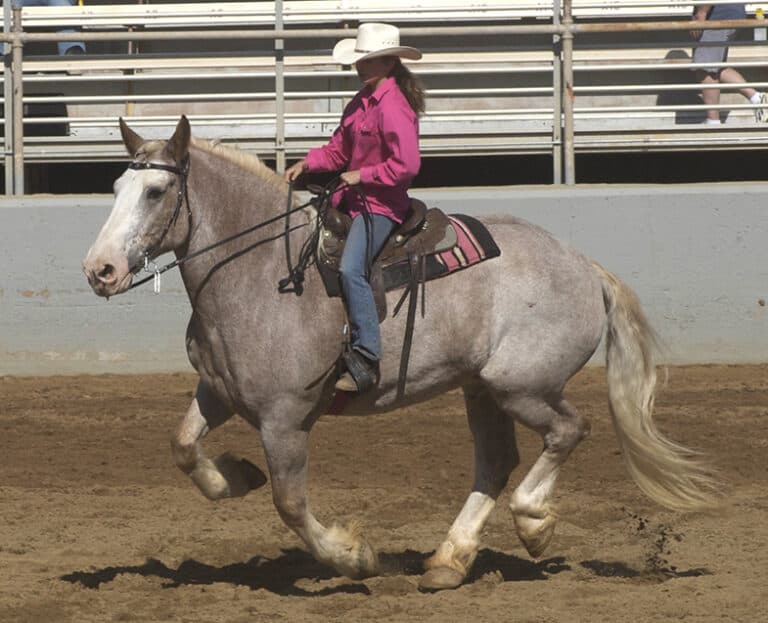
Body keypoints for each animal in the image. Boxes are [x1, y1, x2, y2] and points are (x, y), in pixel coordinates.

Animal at [82, 116, 717, 591]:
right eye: (114, 190)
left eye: (156, 192)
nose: (100, 269)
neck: (259, 273)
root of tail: (585, 266)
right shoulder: (219, 392)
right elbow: (185, 448)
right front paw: (237, 475)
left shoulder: (285, 418)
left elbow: (290, 503)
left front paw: (354, 557)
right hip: (481, 388)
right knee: (496, 460)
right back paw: (449, 560)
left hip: (522, 385)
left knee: (568, 431)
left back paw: (533, 523)